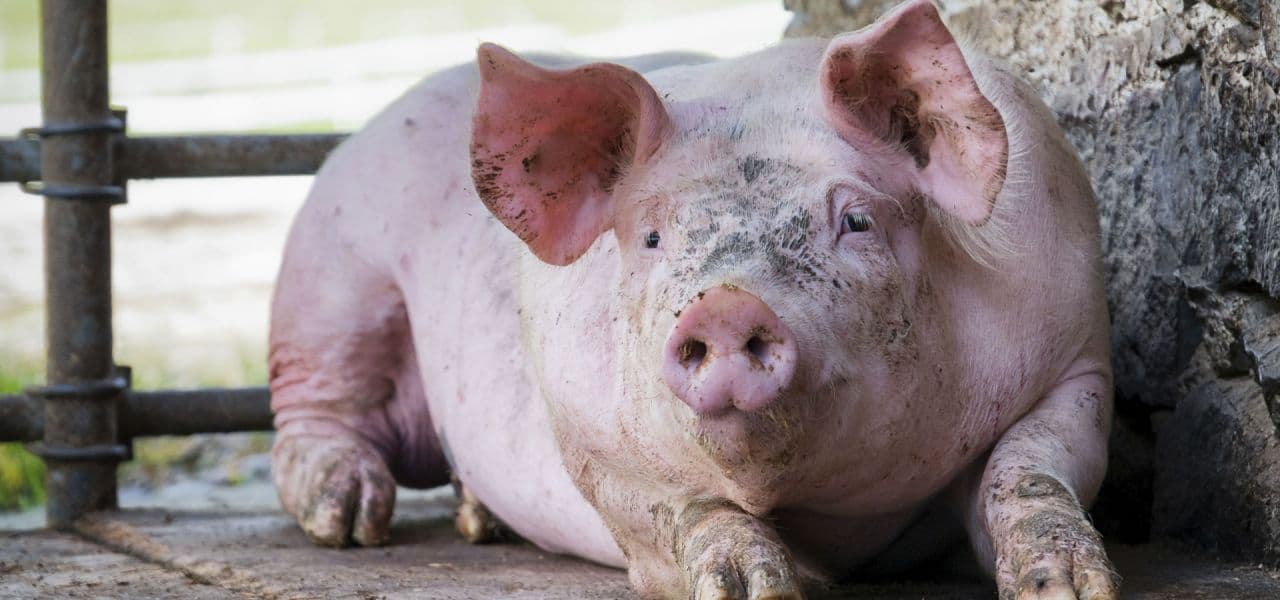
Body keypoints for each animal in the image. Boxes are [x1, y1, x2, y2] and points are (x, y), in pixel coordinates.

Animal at [268, 1, 1119, 598]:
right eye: (651, 238)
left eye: (855, 221)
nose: (728, 306)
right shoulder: (582, 437)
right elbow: (677, 507)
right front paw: (759, 589)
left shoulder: (1076, 355)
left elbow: (1029, 471)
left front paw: (1067, 588)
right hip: (330, 283)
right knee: (317, 416)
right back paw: (350, 519)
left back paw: (475, 521)